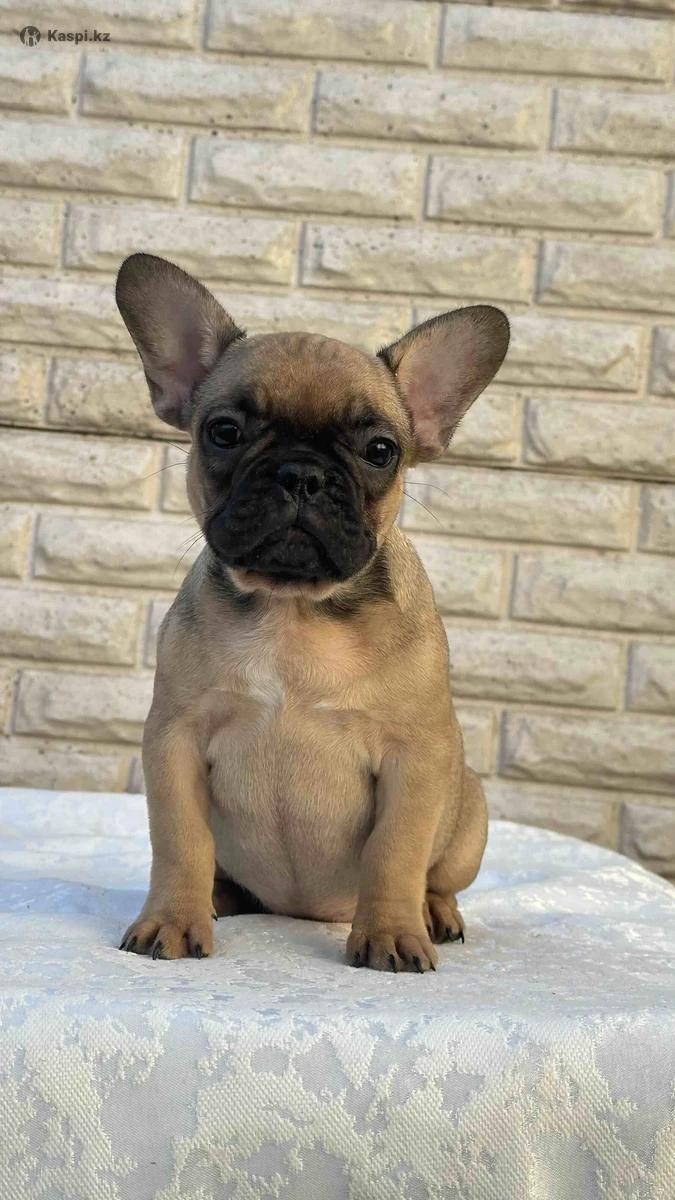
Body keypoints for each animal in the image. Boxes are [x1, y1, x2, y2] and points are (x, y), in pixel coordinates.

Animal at [116, 253, 509, 972]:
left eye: (380, 450)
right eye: (224, 432)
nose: (300, 473)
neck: (294, 611)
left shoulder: (416, 759)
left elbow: (395, 853)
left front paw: (391, 933)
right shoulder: (175, 739)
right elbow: (181, 841)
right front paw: (173, 920)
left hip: (468, 810)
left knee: (437, 875)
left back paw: (433, 914)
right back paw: (220, 896)